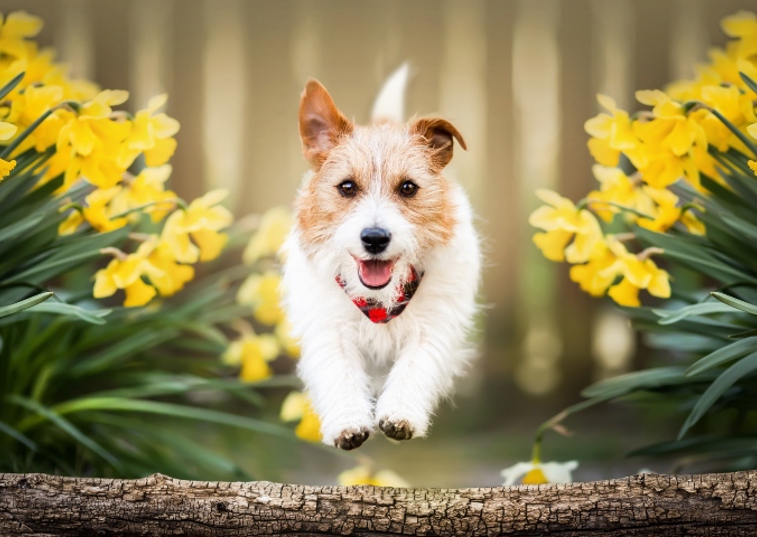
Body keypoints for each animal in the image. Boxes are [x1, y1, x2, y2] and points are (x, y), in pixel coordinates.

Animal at [280, 71, 482, 448]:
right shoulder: (329, 328)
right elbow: (339, 371)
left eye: (408, 188)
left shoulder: (433, 326)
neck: (378, 303)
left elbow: (416, 366)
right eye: (346, 187)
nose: (374, 238)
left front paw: (400, 414)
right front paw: (347, 421)